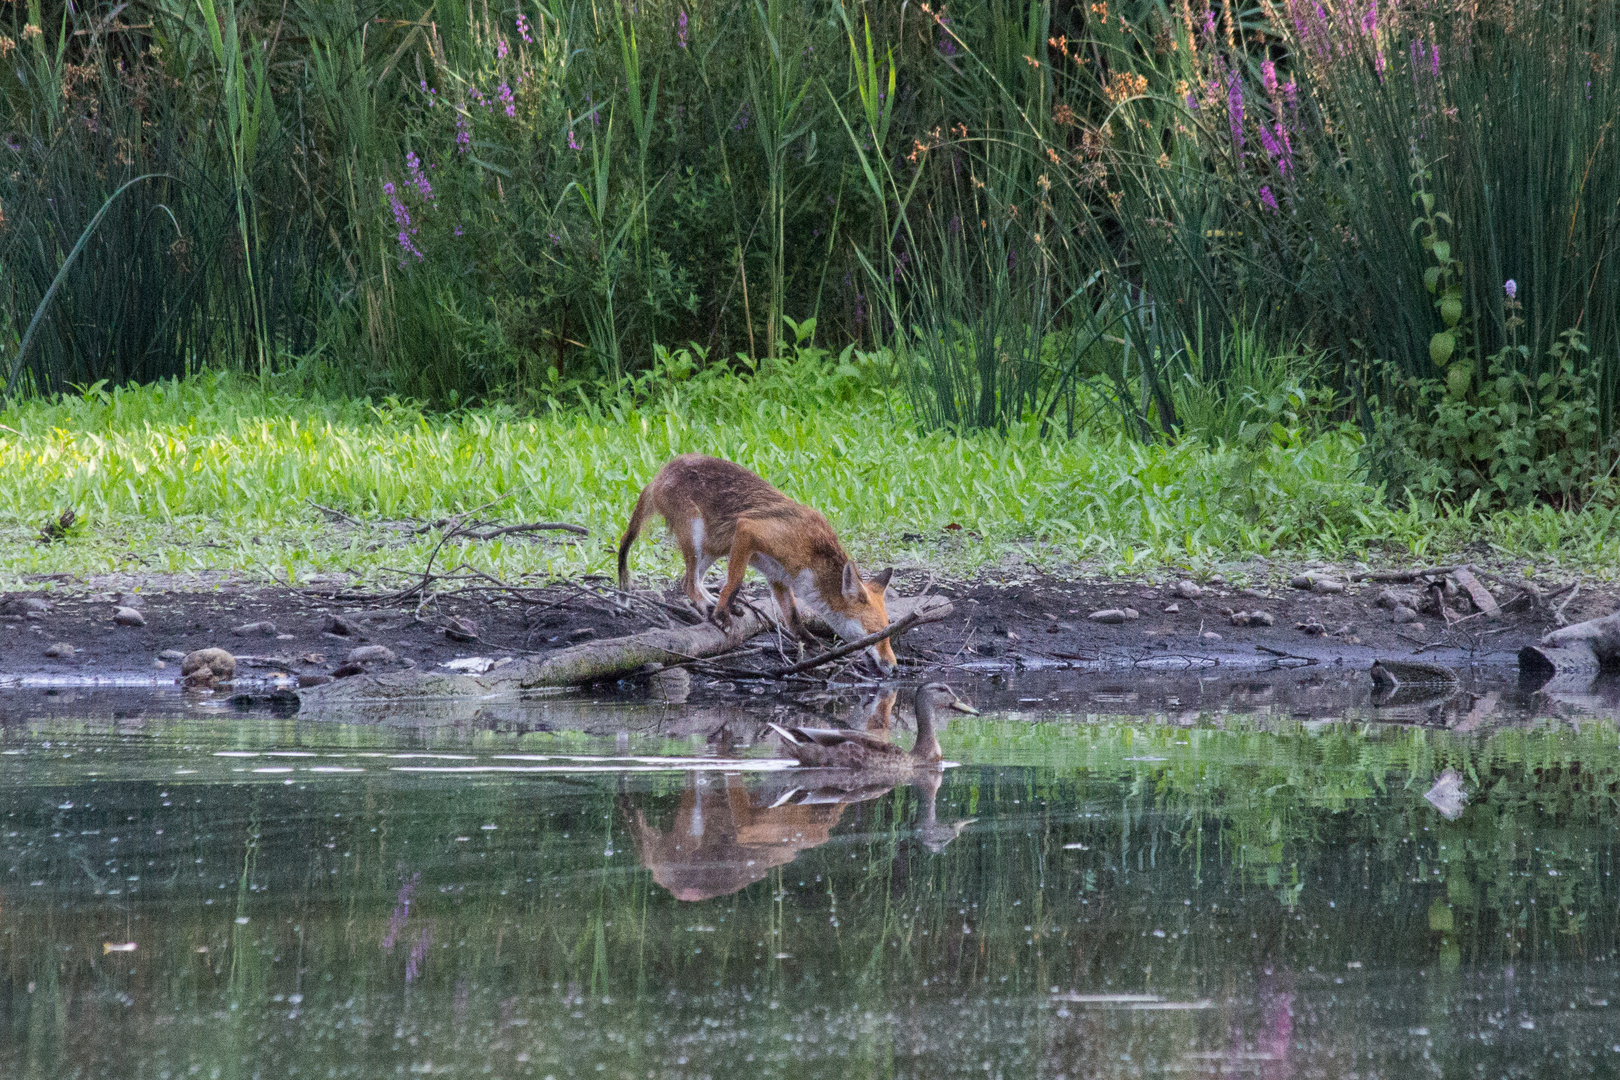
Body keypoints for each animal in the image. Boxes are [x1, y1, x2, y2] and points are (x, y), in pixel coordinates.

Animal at [615, 453, 900, 670]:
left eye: (888, 631)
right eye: (877, 634)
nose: (894, 666)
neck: (814, 553)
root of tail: (660, 472)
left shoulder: (778, 577)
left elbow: (793, 617)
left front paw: (808, 640)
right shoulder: (748, 531)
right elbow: (735, 582)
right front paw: (722, 615)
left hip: (715, 545)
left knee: (690, 580)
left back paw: (710, 605)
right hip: (698, 536)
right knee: (688, 584)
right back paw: (712, 608)